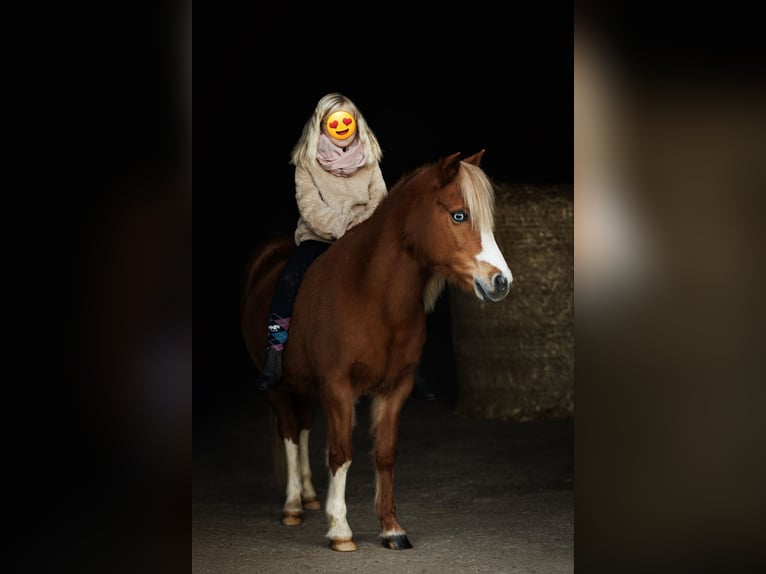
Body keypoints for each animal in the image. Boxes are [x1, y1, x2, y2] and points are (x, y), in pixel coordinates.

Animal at [240, 150, 516, 552]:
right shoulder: (338, 389)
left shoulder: (394, 388)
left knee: (302, 428)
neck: (372, 295)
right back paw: (293, 505)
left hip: (304, 385)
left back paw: (308, 496)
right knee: (290, 431)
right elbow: (340, 454)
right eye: (459, 215)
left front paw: (391, 528)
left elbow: (385, 454)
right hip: (276, 385)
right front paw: (340, 529)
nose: (501, 282)